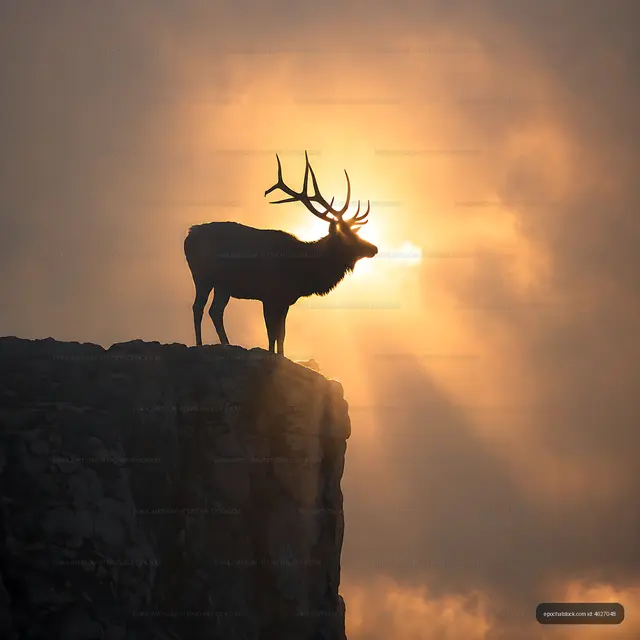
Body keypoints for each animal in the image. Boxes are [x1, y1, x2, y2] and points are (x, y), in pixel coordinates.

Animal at [184, 151, 378, 357]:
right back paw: (200, 345)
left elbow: (281, 334)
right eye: (348, 237)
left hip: (223, 285)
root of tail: (188, 236)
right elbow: (272, 333)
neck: (304, 271)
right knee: (198, 307)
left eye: (356, 233)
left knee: (215, 310)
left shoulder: (284, 299)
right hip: (202, 275)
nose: (374, 248)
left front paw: (280, 355)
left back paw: (226, 344)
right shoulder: (269, 295)